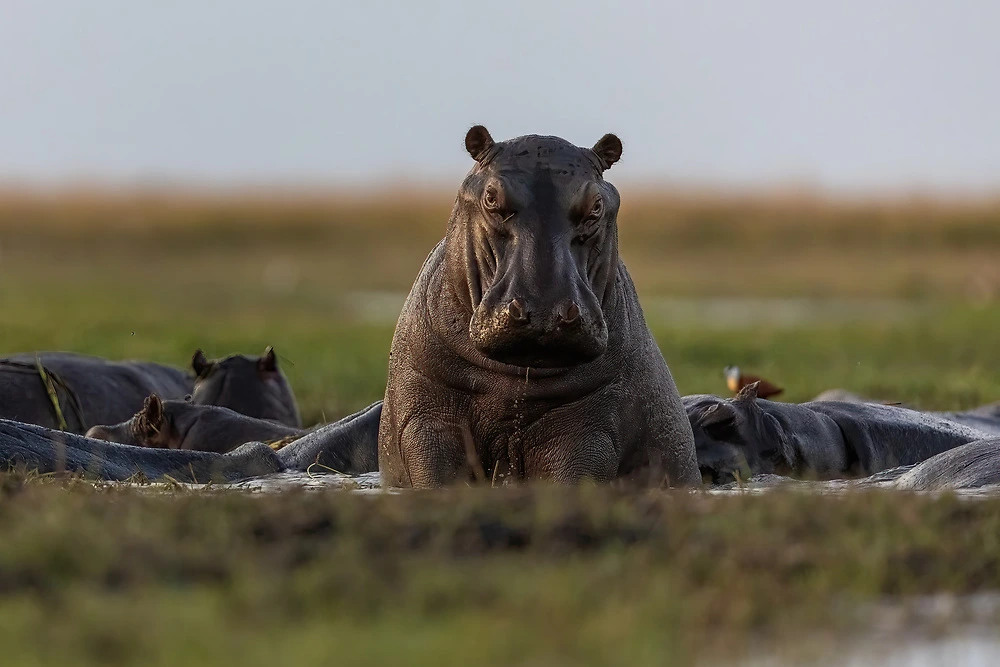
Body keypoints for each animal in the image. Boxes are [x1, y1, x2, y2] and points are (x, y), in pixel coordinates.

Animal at [378, 128, 700, 488]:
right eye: (491, 197)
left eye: (597, 205)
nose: (545, 310)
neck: (513, 387)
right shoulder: (427, 421)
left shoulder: (587, 429)